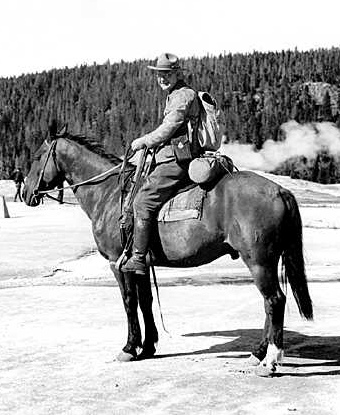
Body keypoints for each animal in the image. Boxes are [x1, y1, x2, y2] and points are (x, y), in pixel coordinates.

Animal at [21, 133, 314, 376]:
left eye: (36, 157)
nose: (25, 193)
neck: (109, 194)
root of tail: (280, 190)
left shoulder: (118, 263)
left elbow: (129, 303)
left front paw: (129, 348)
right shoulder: (138, 263)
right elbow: (146, 302)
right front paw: (148, 346)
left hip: (259, 261)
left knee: (274, 301)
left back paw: (270, 361)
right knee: (270, 304)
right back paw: (258, 354)